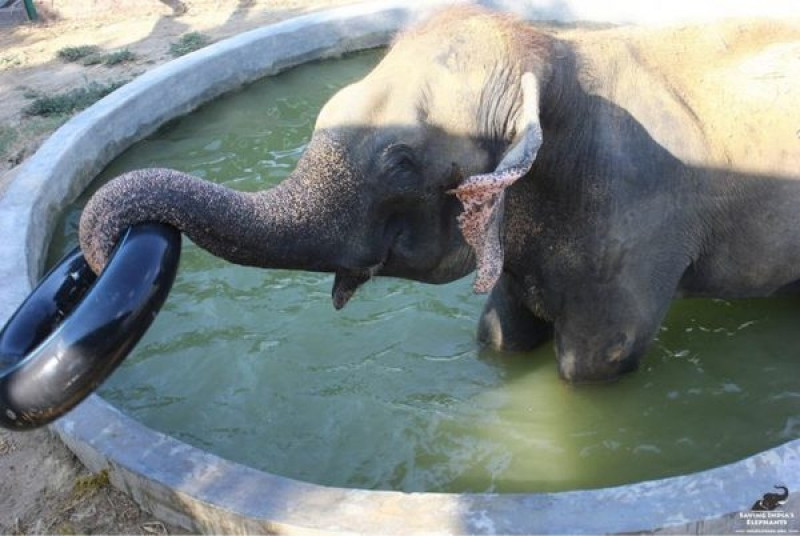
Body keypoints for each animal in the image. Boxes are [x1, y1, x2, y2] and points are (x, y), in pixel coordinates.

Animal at [78, 8, 800, 386]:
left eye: (401, 163)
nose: (98, 259)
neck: (549, 56)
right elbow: (499, 335)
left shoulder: (636, 227)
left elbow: (590, 364)